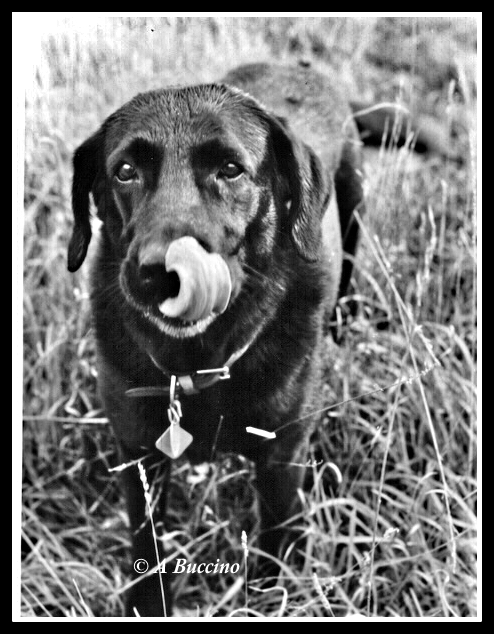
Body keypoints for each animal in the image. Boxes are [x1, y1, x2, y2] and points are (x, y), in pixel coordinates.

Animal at [67, 63, 364, 612]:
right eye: (125, 171)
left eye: (230, 169)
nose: (161, 273)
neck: (198, 363)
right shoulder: (138, 453)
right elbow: (147, 546)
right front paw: (147, 607)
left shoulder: (282, 459)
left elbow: (272, 548)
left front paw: (268, 601)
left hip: (355, 204)